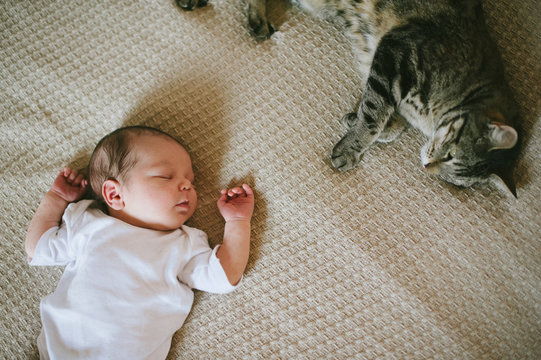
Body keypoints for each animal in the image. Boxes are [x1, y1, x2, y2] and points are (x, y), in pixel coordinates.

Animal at [179, 0, 520, 195]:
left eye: (456, 179)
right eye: (452, 157)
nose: (428, 168)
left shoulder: (385, 66)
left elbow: (387, 119)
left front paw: (357, 120)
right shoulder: (396, 53)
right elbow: (374, 113)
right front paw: (352, 145)